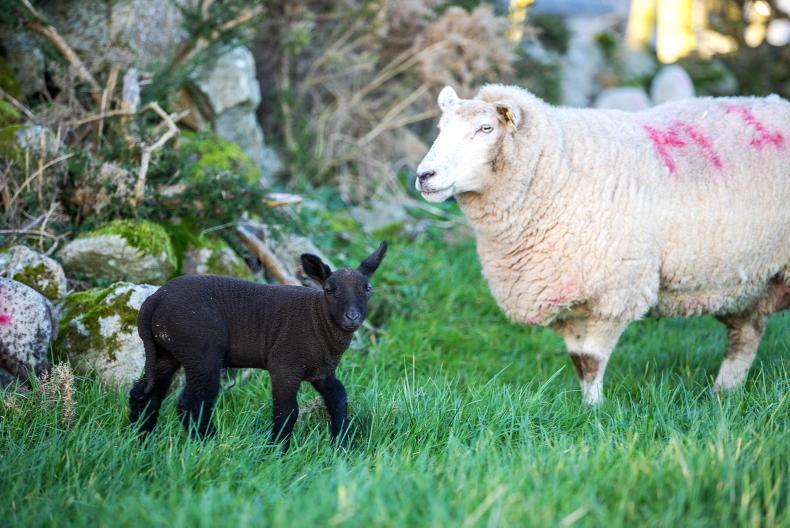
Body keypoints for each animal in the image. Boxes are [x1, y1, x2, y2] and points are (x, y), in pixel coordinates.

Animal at [129, 242, 388, 449]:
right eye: (329, 290)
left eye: (367, 289)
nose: (352, 317)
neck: (318, 319)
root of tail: (154, 300)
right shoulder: (285, 366)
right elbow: (287, 411)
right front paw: (277, 451)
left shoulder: (321, 372)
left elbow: (338, 398)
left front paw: (341, 445)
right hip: (201, 352)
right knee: (193, 403)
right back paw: (210, 443)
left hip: (165, 350)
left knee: (145, 394)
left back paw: (140, 440)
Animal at [416, 84, 789, 405]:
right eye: (440, 127)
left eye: (485, 129)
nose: (424, 175)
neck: (559, 167)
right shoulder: (564, 294)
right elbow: (579, 361)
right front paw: (586, 407)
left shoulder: (617, 290)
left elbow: (592, 360)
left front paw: (595, 411)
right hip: (750, 281)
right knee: (745, 336)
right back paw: (723, 394)